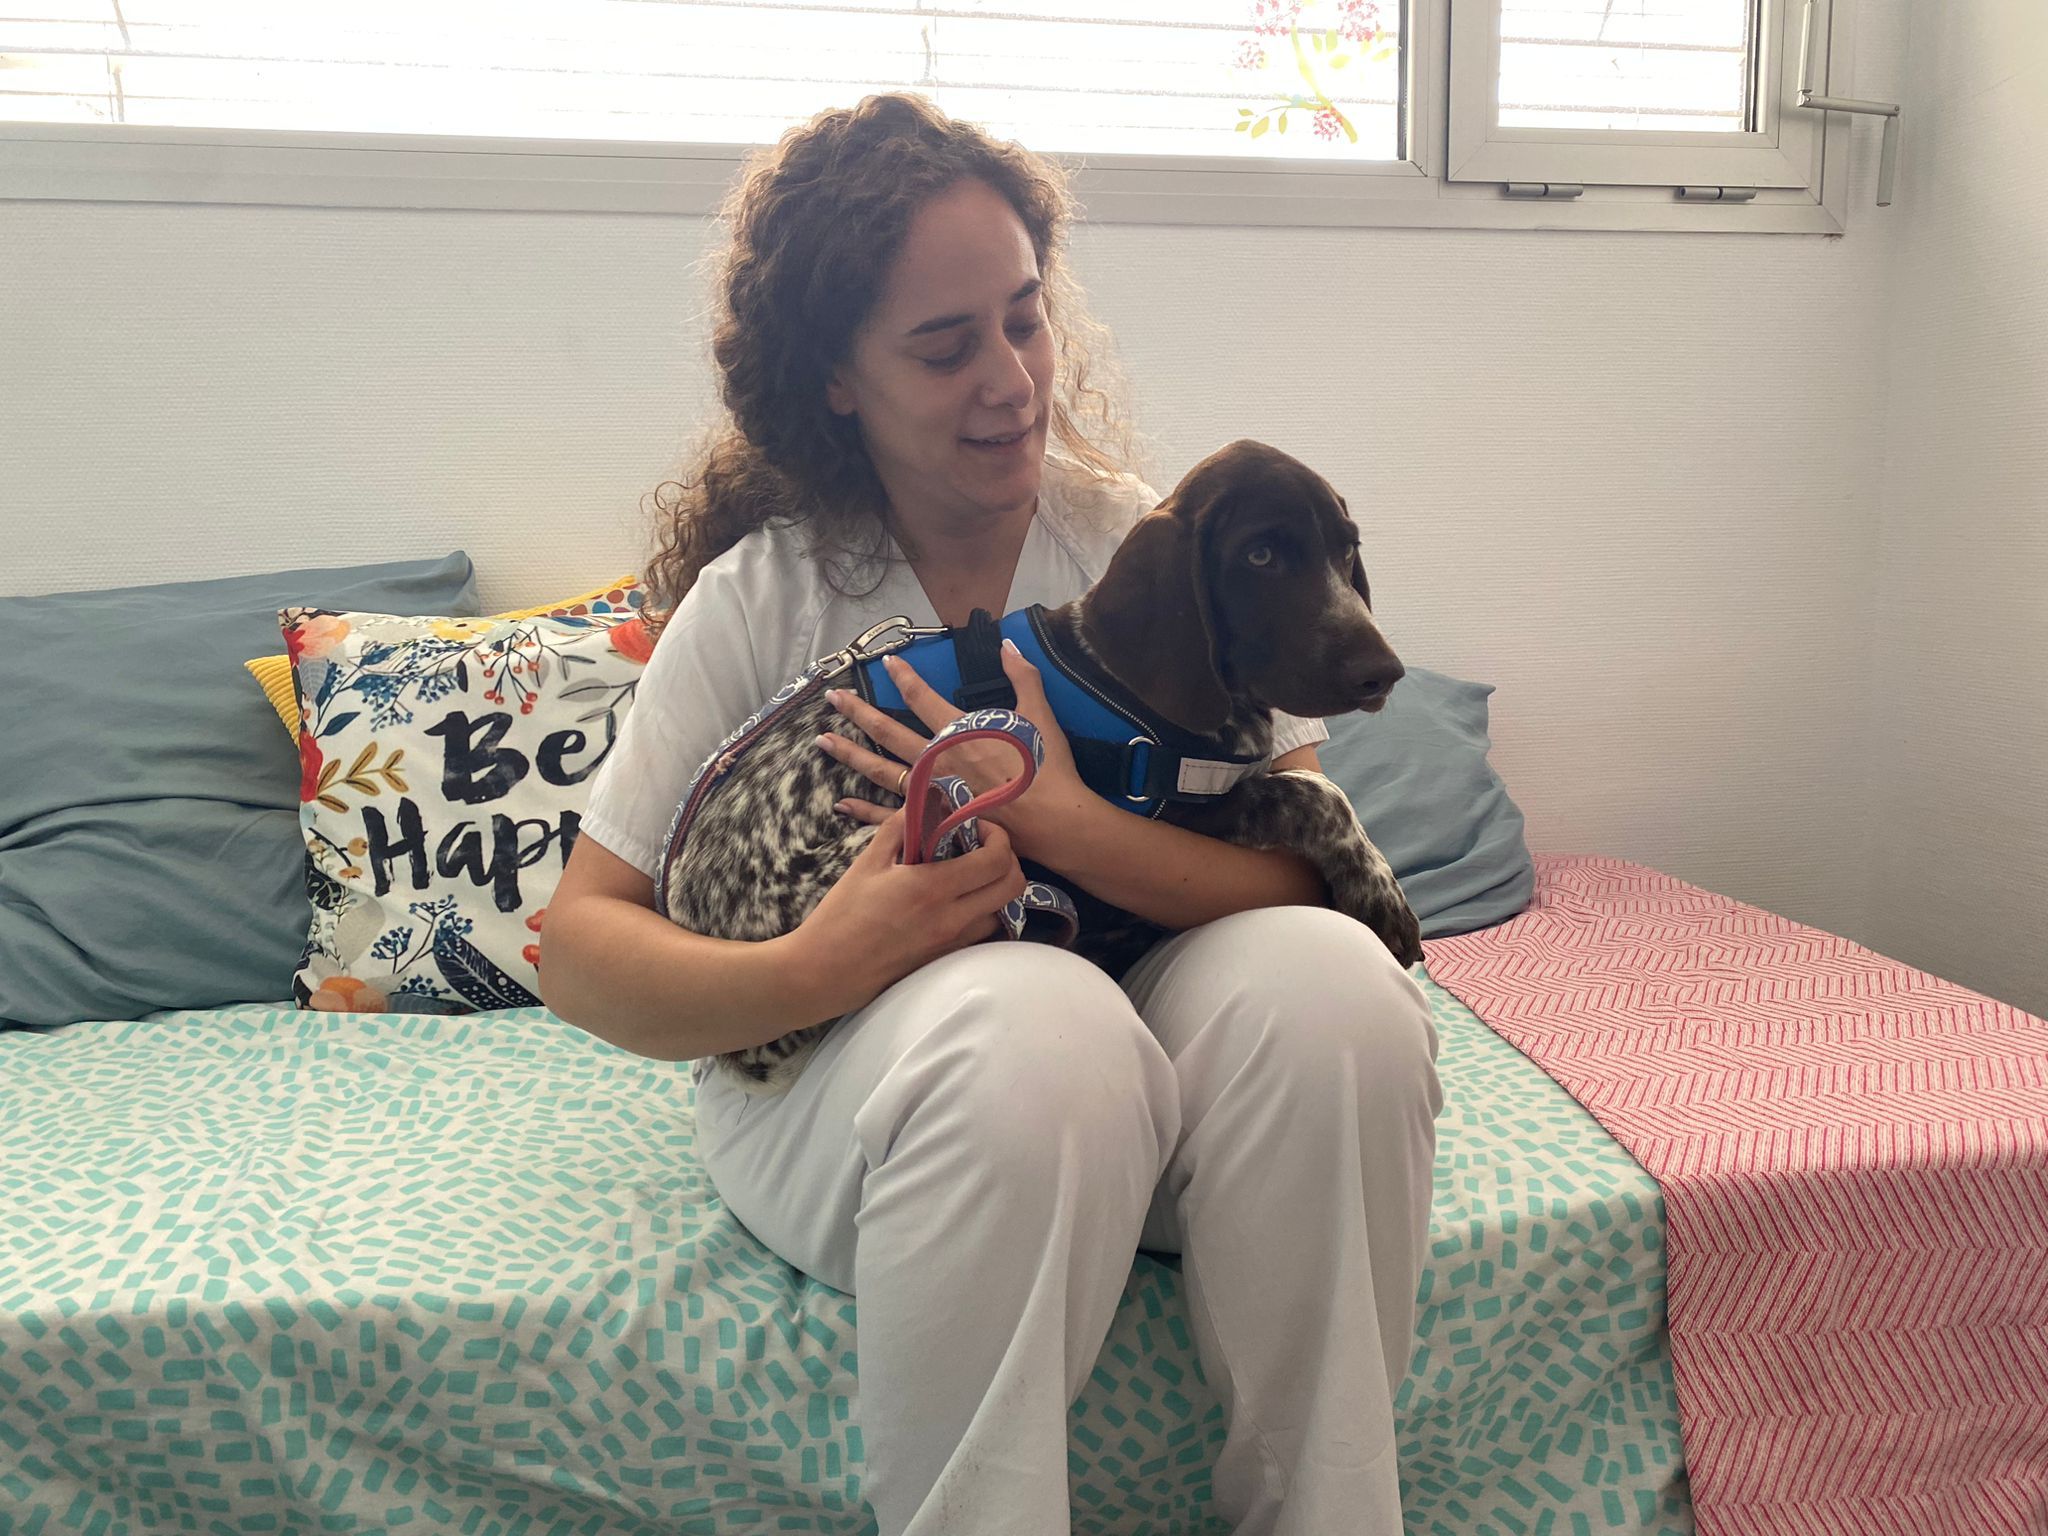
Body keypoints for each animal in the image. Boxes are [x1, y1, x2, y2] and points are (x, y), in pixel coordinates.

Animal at [659, 438, 1425, 1097]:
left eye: (1346, 550)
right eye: (1261, 555)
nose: (1383, 672)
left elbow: (1314, 781)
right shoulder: (1164, 808)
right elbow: (1314, 791)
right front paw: (1379, 894)